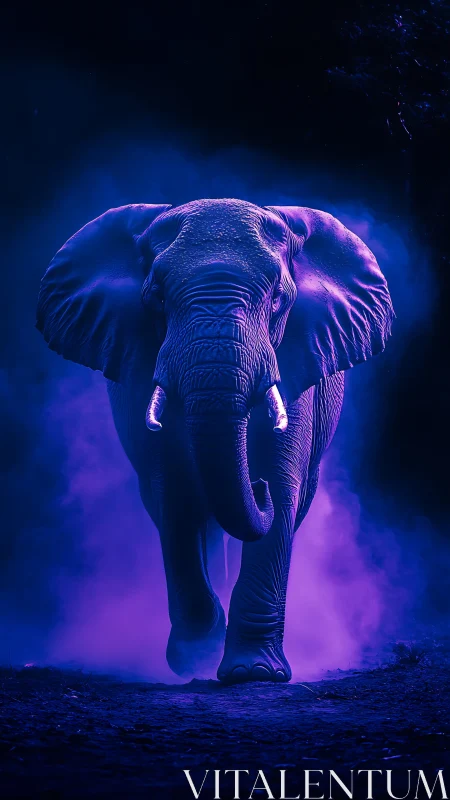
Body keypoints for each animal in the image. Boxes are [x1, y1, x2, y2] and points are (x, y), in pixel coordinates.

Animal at [36, 198, 393, 684]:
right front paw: (195, 658)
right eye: (157, 298)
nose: (255, 489)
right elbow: (174, 492)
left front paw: (253, 673)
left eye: (278, 300)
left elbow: (282, 486)